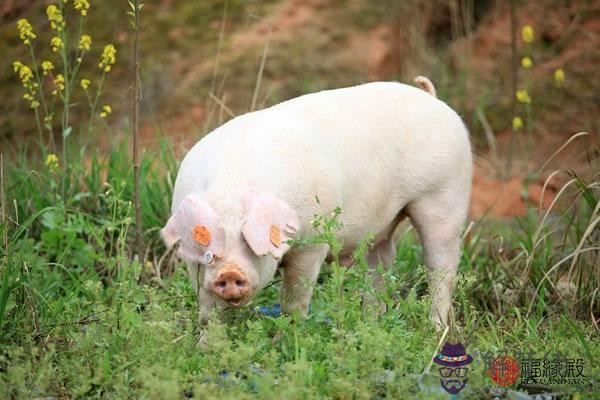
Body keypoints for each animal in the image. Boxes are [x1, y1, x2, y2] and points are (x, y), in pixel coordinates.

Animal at [162, 77, 472, 328]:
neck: (234, 189)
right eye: (209, 249)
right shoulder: (193, 265)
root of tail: (431, 97)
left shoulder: (312, 241)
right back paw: (371, 324)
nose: (229, 273)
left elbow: (294, 300)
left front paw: (288, 336)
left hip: (445, 194)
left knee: (441, 266)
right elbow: (208, 310)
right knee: (381, 263)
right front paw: (206, 348)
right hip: (383, 225)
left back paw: (434, 331)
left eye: (252, 243)